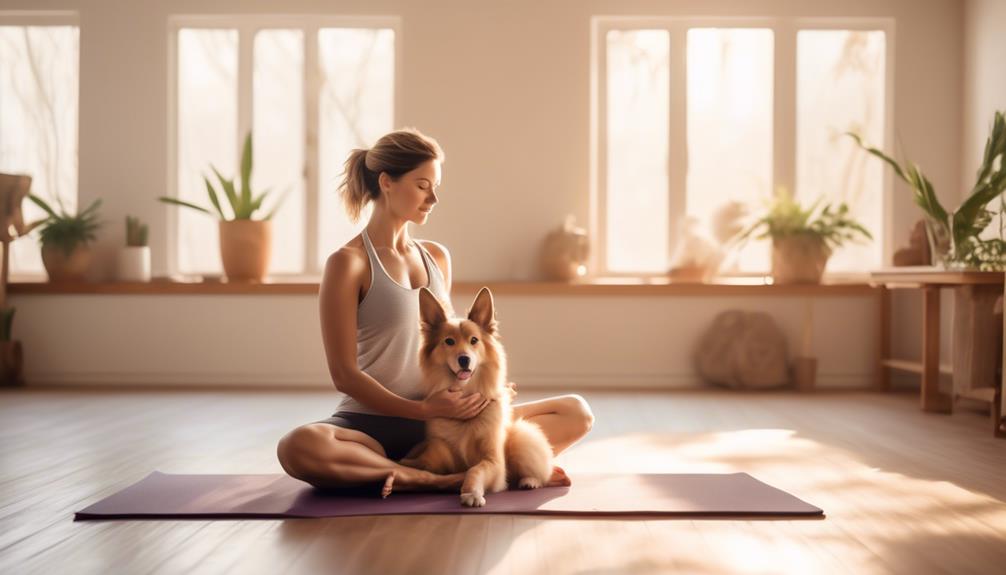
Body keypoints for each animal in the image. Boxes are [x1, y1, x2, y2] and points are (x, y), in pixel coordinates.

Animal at [398, 287, 555, 506]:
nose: (464, 359)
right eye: (449, 341)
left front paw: (471, 492)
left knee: (540, 471)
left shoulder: (493, 461)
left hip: (522, 437)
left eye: (474, 341)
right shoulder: (441, 448)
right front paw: (409, 462)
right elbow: (431, 459)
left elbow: (475, 469)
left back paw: (529, 481)